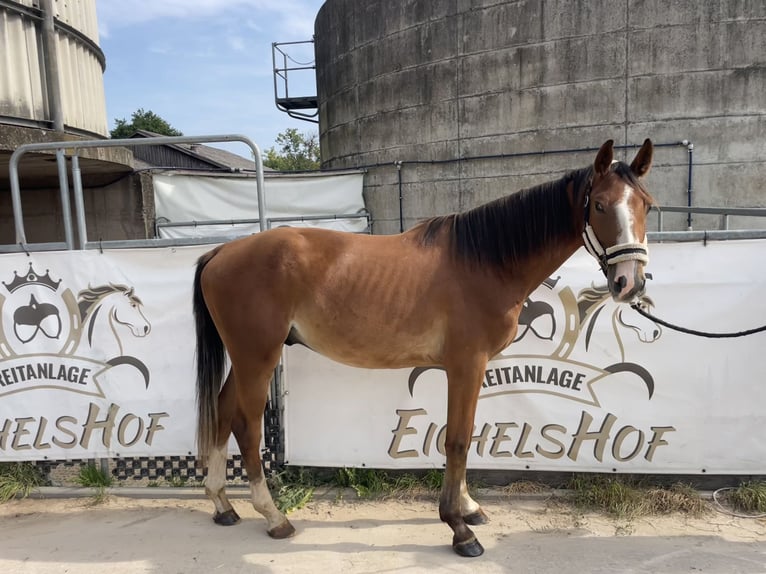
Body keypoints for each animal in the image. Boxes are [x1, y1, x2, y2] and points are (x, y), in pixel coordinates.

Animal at [193, 139, 655, 557]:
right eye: (599, 205)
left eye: (647, 205)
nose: (629, 283)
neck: (485, 262)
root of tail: (221, 251)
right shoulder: (466, 364)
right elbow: (458, 440)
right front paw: (458, 528)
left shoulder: (472, 368)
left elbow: (466, 437)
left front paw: (468, 508)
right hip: (258, 358)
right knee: (247, 427)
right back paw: (273, 517)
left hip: (245, 359)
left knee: (222, 411)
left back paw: (222, 504)